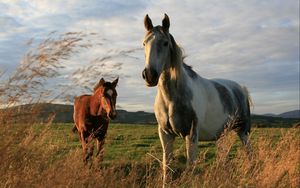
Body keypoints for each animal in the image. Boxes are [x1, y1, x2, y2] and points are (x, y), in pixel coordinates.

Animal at [142, 13, 252, 186]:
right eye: (144, 43)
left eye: (165, 43)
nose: (149, 75)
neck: (171, 98)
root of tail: (240, 88)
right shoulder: (165, 134)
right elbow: (167, 167)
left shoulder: (192, 133)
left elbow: (190, 166)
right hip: (222, 135)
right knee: (223, 158)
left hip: (243, 131)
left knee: (249, 154)